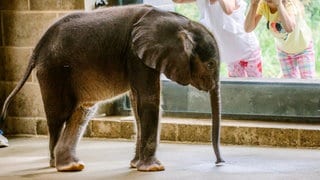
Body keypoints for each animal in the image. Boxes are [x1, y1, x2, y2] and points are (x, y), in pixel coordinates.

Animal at [0, 4, 224, 172]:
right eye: (211, 64)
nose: (219, 162)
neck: (182, 22)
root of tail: (37, 48)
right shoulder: (135, 54)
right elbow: (148, 100)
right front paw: (153, 169)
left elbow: (137, 103)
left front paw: (135, 165)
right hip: (54, 70)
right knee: (60, 115)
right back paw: (57, 164)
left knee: (82, 111)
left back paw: (71, 166)